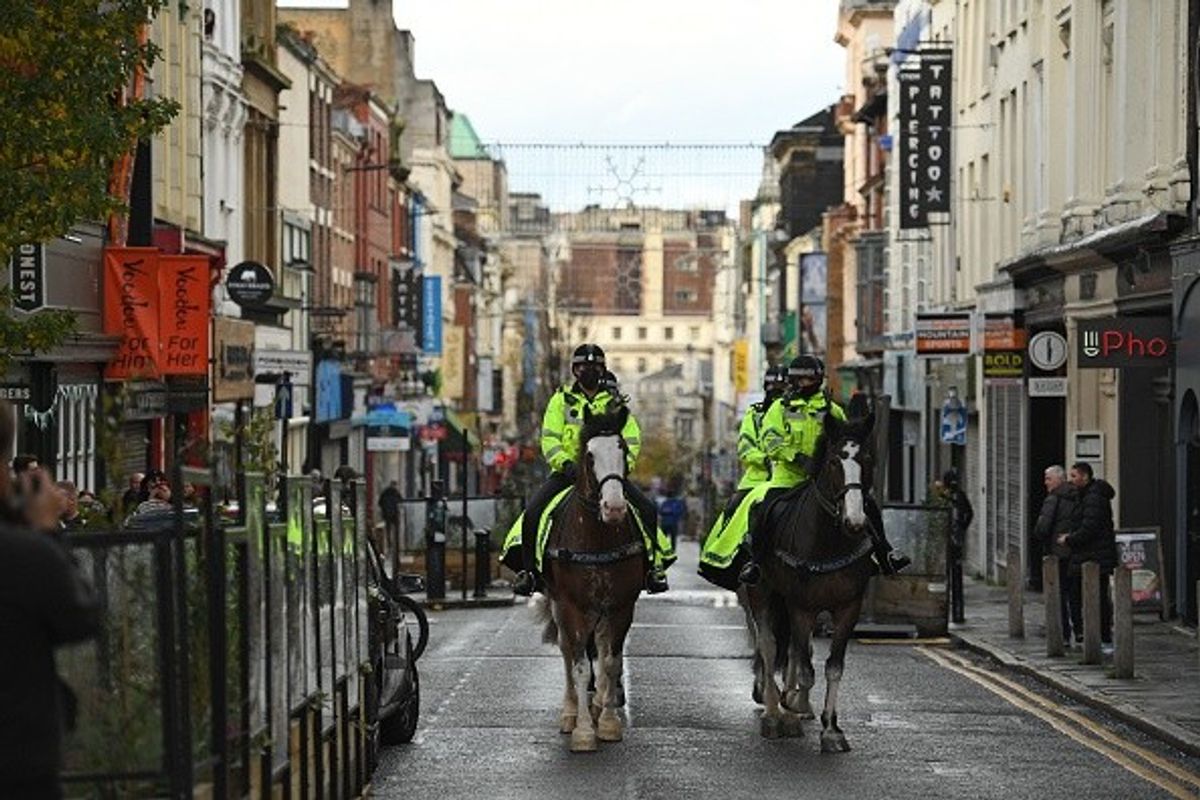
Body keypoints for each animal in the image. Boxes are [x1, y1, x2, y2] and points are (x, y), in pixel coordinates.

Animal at [540, 407, 643, 753]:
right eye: (589, 455)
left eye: (622, 449)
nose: (614, 507)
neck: (597, 537)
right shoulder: (571, 606)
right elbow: (581, 666)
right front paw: (584, 731)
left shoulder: (621, 606)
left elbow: (609, 661)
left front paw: (608, 723)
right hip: (560, 605)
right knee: (567, 650)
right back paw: (571, 712)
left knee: (597, 645)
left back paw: (598, 705)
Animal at [739, 402, 873, 753]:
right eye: (834, 462)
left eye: (867, 460)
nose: (855, 521)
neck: (829, 541)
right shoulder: (802, 606)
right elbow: (806, 669)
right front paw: (792, 707)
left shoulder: (848, 607)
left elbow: (833, 667)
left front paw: (831, 729)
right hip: (762, 593)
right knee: (769, 645)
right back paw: (774, 714)